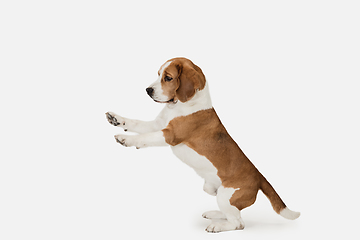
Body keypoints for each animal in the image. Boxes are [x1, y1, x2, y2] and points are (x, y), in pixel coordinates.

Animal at [105, 57, 300, 232]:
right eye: (158, 74)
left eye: (168, 77)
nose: (147, 90)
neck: (181, 105)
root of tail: (259, 176)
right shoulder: (156, 125)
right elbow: (136, 124)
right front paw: (117, 119)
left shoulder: (169, 135)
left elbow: (145, 137)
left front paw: (126, 139)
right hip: (211, 189)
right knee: (234, 213)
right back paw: (215, 214)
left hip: (225, 195)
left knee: (238, 223)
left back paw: (217, 226)